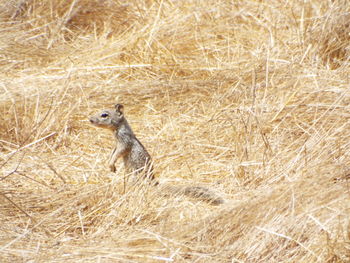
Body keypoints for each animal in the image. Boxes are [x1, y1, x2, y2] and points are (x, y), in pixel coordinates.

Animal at [89, 103, 223, 206]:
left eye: (104, 115)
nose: (90, 119)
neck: (117, 130)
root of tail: (153, 184)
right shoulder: (116, 144)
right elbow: (113, 152)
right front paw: (110, 164)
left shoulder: (124, 142)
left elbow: (119, 152)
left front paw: (111, 164)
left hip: (134, 177)